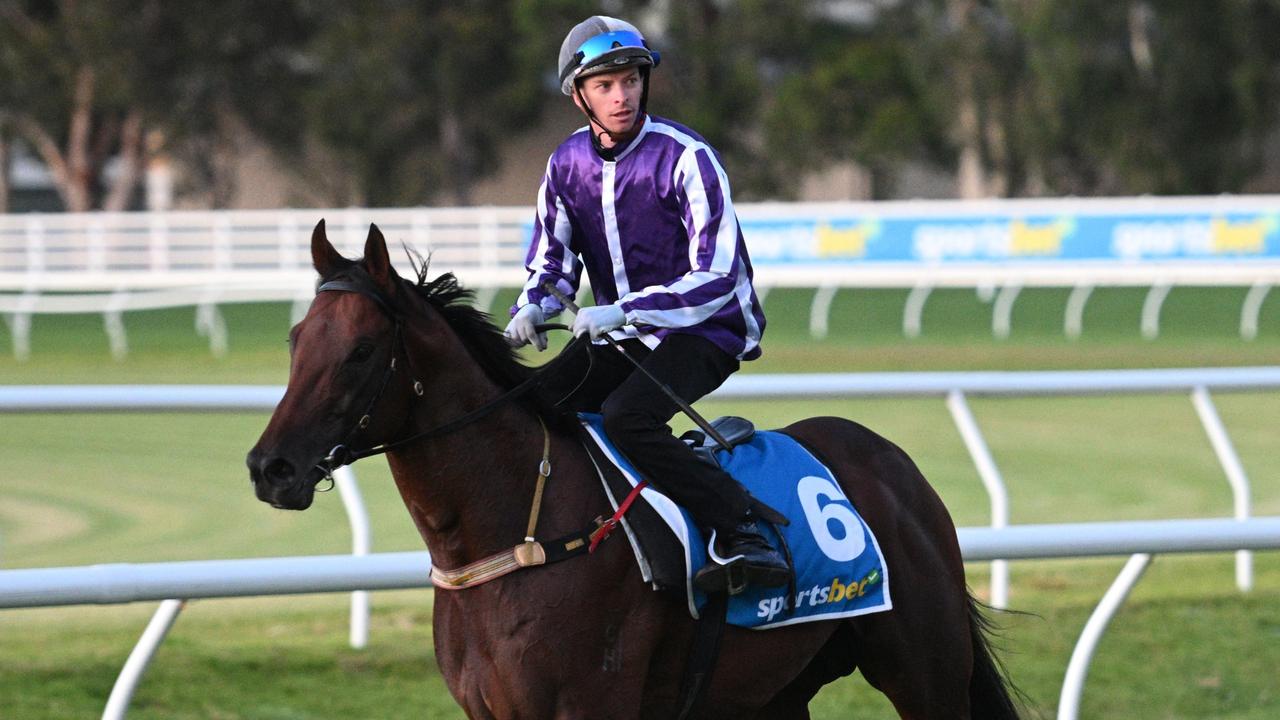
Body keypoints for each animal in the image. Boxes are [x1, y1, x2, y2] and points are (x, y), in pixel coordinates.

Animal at [241, 221, 1018, 712]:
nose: (269, 468)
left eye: (361, 352)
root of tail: (894, 465)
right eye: (296, 339)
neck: (522, 533)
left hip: (924, 671)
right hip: (773, 693)